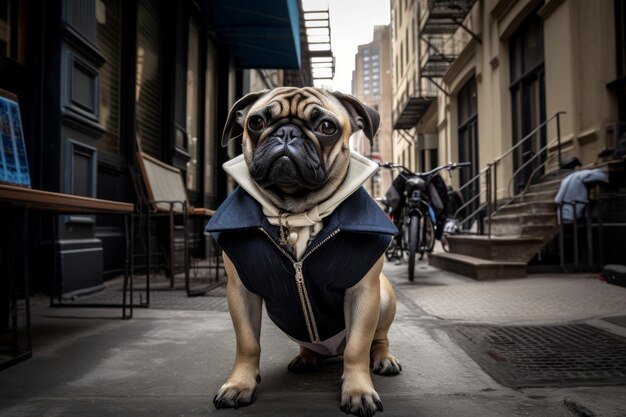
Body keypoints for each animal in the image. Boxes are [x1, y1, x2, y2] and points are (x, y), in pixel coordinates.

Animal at [205, 86, 400, 414]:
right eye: (256, 122)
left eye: (327, 127)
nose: (287, 132)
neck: (296, 211)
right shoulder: (241, 292)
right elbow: (248, 344)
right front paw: (239, 385)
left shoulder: (363, 292)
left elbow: (358, 348)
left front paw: (358, 391)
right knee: (308, 345)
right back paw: (306, 358)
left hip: (384, 298)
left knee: (378, 339)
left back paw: (384, 359)